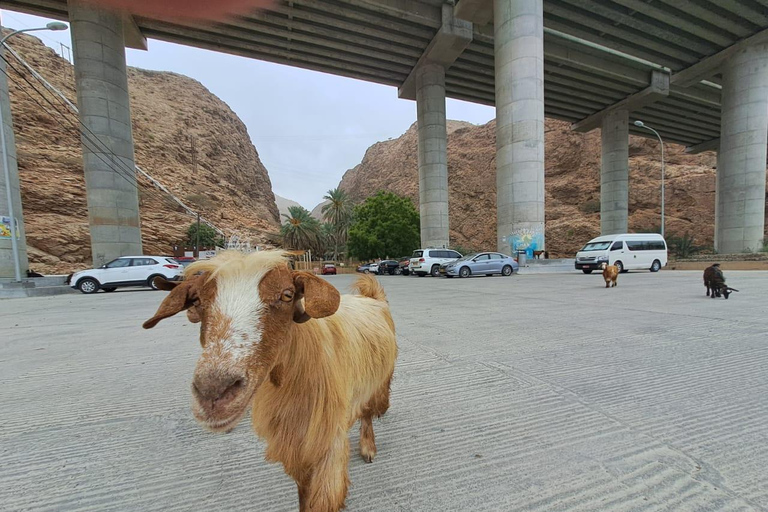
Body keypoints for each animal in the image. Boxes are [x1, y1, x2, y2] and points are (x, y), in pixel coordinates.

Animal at [142, 250, 402, 510]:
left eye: (287, 295)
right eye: (196, 300)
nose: (212, 392)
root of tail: (371, 297)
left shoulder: (328, 447)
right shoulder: (295, 446)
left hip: (379, 382)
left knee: (368, 412)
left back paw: (368, 448)